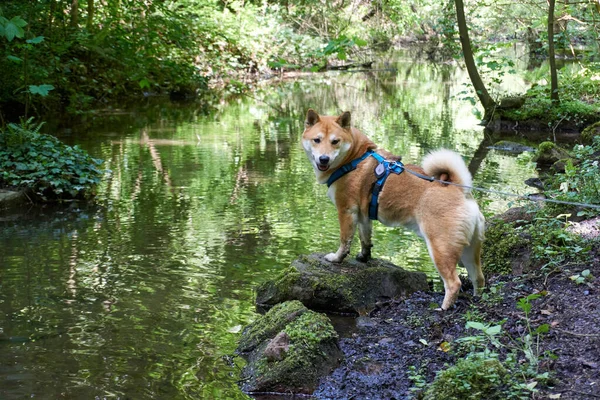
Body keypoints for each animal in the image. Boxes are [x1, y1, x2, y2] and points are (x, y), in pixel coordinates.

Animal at [302, 108, 486, 310]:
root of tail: (460, 191)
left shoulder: (346, 211)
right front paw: (364, 257)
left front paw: (336, 258)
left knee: (454, 283)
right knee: (479, 278)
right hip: (470, 251)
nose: (324, 158)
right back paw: (476, 300)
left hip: (441, 249)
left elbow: (345, 241)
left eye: (335, 141)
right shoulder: (363, 216)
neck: (354, 158)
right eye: (317, 140)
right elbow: (365, 239)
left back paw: (443, 308)